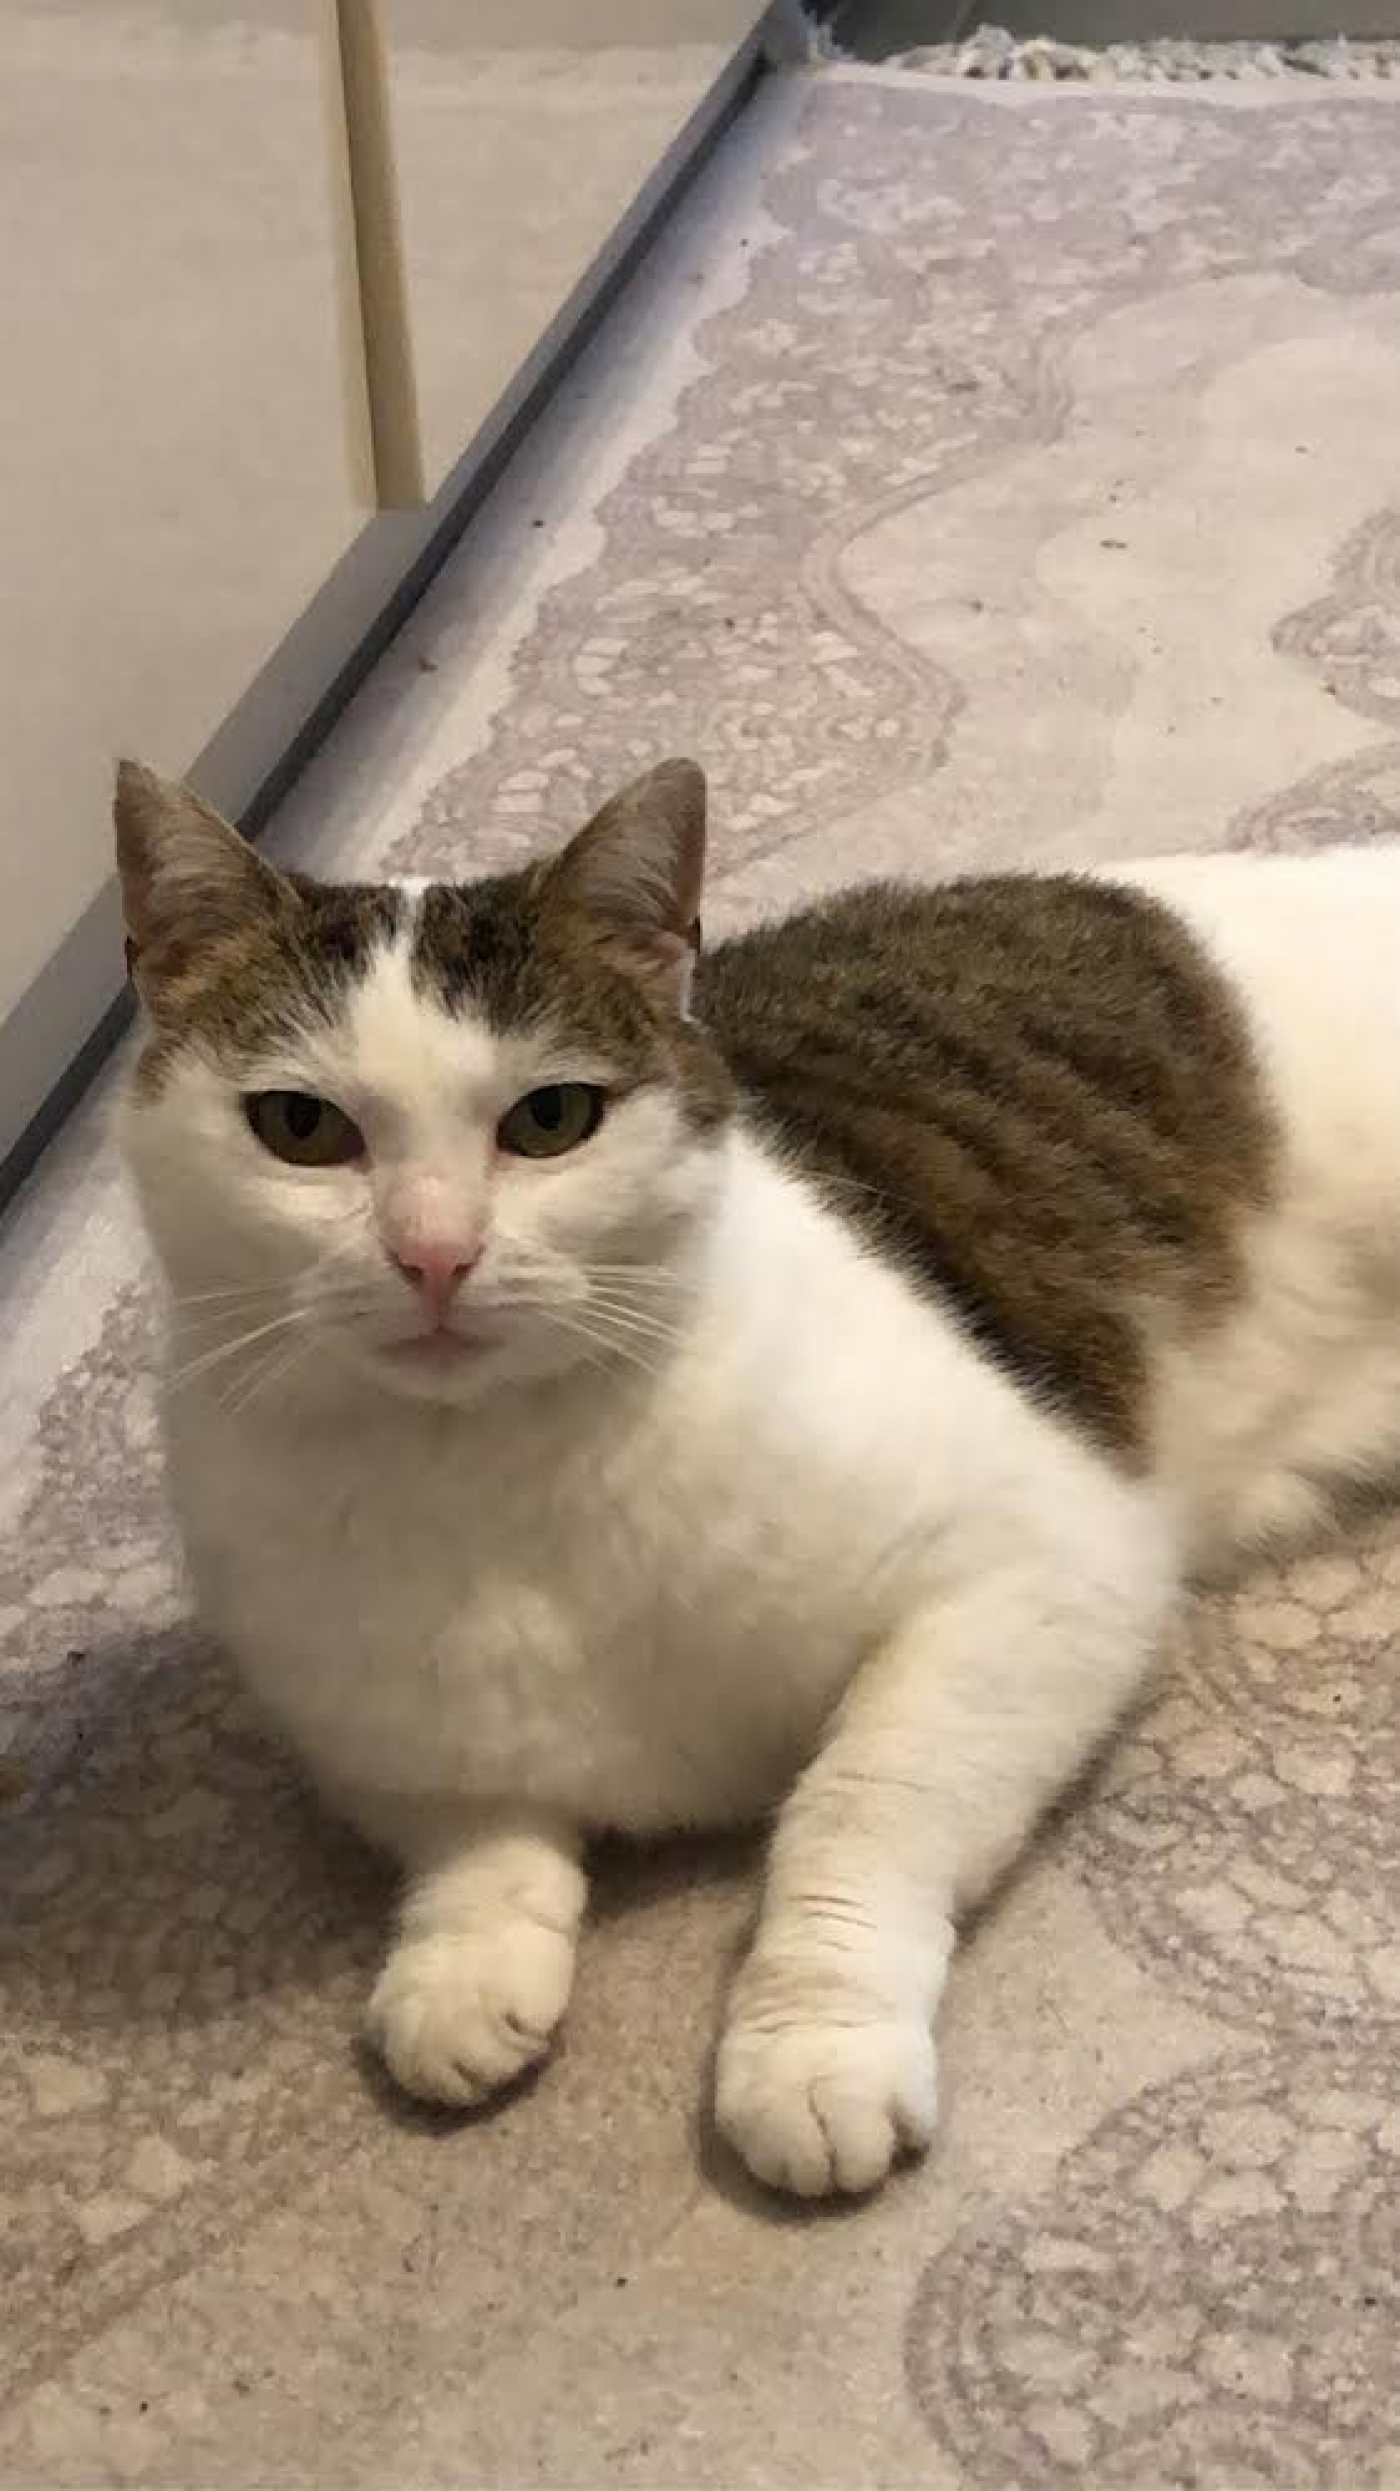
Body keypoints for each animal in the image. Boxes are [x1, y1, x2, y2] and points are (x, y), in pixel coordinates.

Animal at [115, 755, 1400, 2198]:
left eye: (549, 1119)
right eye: (300, 1127)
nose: (433, 1253)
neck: (487, 1475)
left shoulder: (1040, 1567)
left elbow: (858, 1810)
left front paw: (811, 2048)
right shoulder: (367, 1727)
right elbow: (470, 1839)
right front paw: (460, 1970)